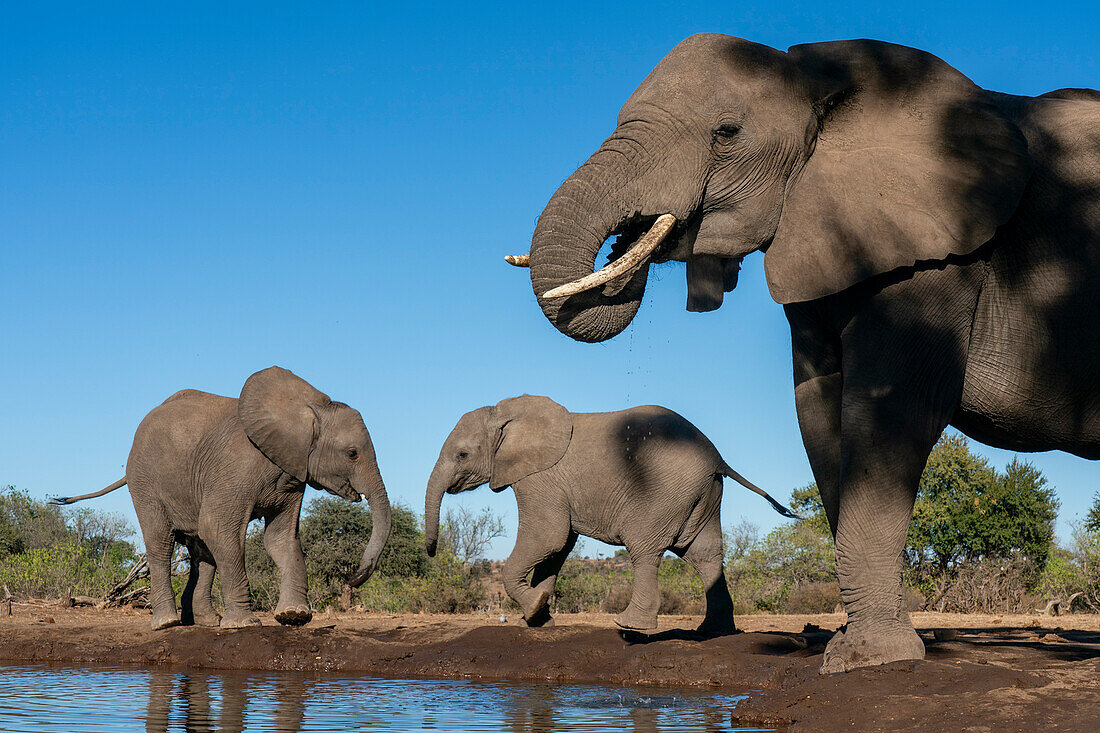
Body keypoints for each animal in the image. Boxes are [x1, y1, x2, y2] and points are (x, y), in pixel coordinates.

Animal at [56, 365, 391, 629]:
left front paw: (294, 617)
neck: (308, 406)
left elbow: (280, 538)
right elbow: (219, 529)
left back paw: (206, 621)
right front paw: (245, 624)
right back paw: (167, 623)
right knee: (161, 541)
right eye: (352, 453)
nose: (353, 577)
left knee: (201, 550)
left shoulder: (292, 473)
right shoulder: (236, 467)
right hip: (145, 479)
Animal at [420, 394, 792, 629]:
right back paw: (712, 631)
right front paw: (537, 619)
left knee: (644, 549)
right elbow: (558, 548)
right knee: (705, 553)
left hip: (663, 493)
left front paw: (535, 608)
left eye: (463, 455)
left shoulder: (538, 479)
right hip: (705, 494)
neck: (508, 415)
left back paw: (631, 625)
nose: (432, 552)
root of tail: (717, 456)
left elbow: (549, 537)